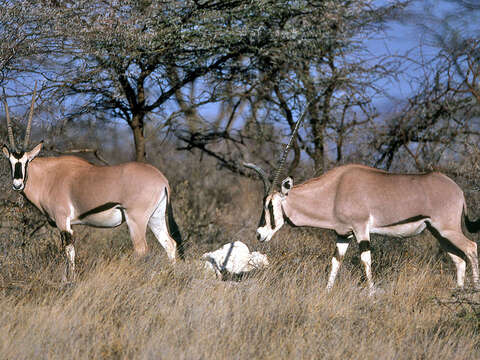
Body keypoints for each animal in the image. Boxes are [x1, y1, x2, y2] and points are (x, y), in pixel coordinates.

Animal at [2, 88, 182, 280]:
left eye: (27, 161)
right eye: (10, 161)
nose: (17, 184)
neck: (48, 177)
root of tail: (161, 178)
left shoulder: (62, 221)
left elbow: (69, 251)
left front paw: (70, 281)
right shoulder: (69, 224)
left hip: (136, 219)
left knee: (142, 250)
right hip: (155, 217)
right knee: (170, 244)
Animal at [248, 163, 480, 296]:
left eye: (270, 205)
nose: (259, 234)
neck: (335, 190)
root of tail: (458, 190)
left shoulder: (361, 230)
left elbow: (365, 260)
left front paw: (371, 294)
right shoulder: (343, 235)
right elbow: (335, 262)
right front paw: (327, 292)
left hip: (448, 230)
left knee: (471, 248)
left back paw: (474, 290)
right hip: (438, 233)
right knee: (458, 259)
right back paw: (458, 292)